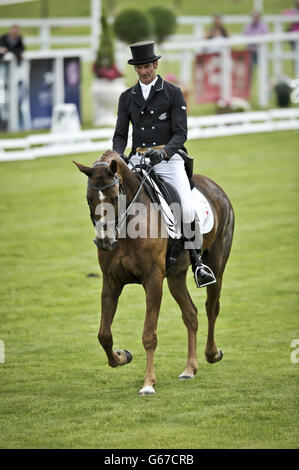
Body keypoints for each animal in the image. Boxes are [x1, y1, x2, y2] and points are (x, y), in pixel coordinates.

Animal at [74, 151, 234, 392]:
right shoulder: (111, 282)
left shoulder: (153, 281)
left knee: (211, 307)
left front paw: (148, 383)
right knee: (191, 314)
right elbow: (104, 334)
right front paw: (122, 356)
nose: (104, 241)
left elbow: (149, 335)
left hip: (217, 263)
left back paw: (212, 354)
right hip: (176, 276)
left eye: (115, 197)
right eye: (88, 199)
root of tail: (215, 187)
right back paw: (190, 369)